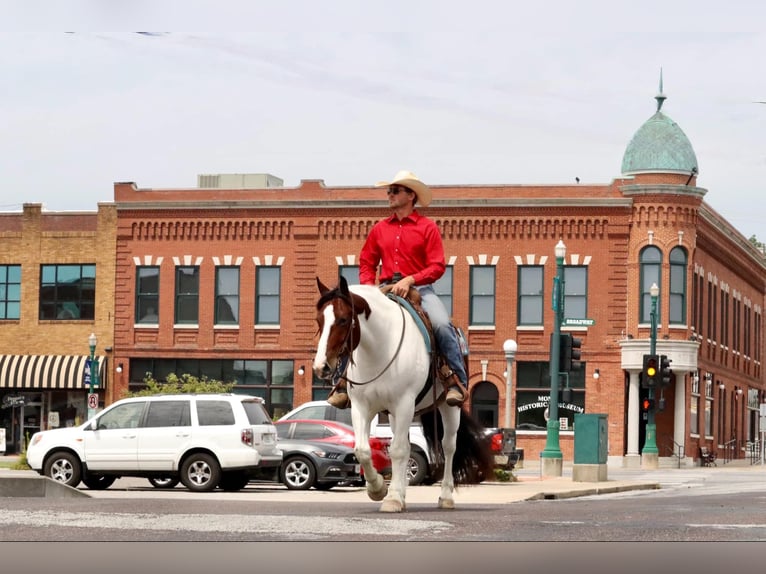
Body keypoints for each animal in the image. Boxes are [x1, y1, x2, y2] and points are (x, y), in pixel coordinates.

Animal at [316, 278, 496, 512]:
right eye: (318, 320)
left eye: (343, 319)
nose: (321, 367)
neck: (379, 349)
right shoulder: (362, 406)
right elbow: (363, 450)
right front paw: (378, 489)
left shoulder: (404, 404)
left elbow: (399, 450)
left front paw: (391, 498)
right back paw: (402, 494)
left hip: (449, 407)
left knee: (448, 446)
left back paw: (446, 496)